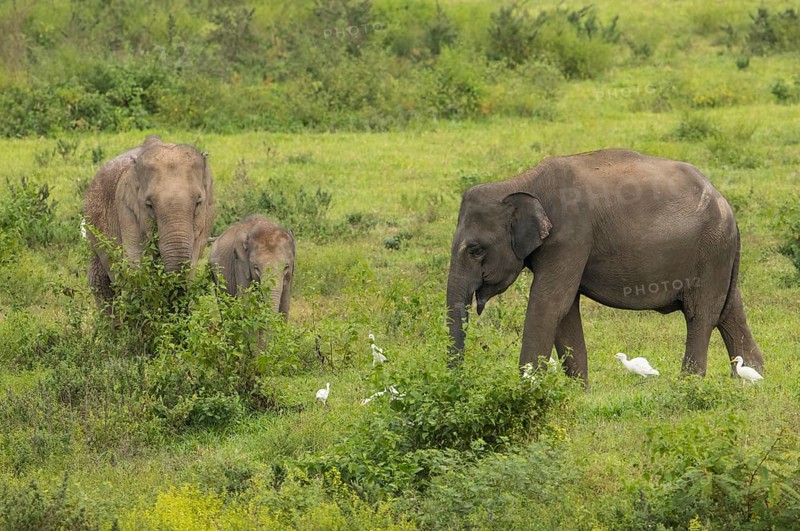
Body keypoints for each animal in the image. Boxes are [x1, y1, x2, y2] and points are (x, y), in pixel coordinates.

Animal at [83, 134, 215, 303]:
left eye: (198, 202)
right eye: (149, 204)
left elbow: (192, 260)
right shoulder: (126, 209)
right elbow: (135, 263)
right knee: (100, 281)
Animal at [446, 148, 764, 384]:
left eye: (475, 250)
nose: (458, 381)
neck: (519, 183)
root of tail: (727, 206)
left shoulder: (571, 235)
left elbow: (549, 303)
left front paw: (528, 388)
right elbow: (565, 311)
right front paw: (578, 392)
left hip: (710, 250)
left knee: (701, 316)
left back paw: (688, 385)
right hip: (716, 255)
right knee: (729, 312)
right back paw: (753, 378)